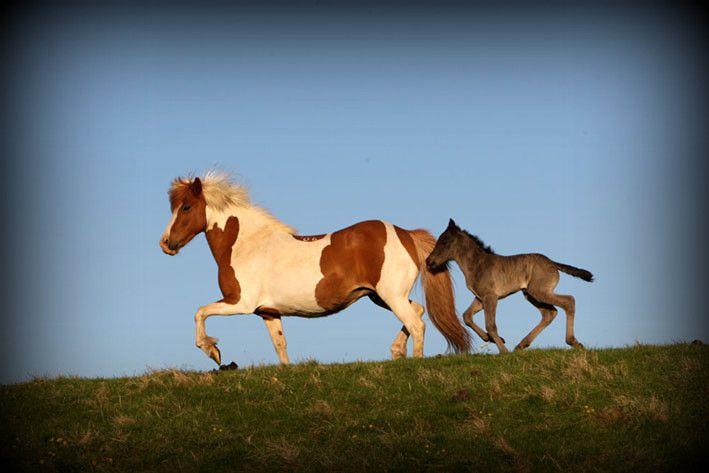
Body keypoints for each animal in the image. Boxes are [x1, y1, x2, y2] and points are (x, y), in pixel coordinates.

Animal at [160, 171, 470, 364]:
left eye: (186, 207)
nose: (166, 244)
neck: (247, 244)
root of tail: (405, 234)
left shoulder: (239, 302)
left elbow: (200, 312)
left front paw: (213, 351)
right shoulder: (268, 312)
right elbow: (280, 346)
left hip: (390, 295)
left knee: (417, 323)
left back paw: (413, 362)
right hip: (379, 296)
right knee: (417, 312)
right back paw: (396, 352)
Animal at [426, 219, 592, 352]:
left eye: (444, 242)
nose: (429, 261)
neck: (477, 264)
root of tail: (552, 263)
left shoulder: (491, 297)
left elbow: (490, 324)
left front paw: (503, 350)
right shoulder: (480, 297)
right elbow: (467, 316)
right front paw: (494, 339)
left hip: (539, 291)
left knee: (568, 301)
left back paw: (573, 342)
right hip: (530, 294)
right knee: (549, 313)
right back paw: (521, 345)